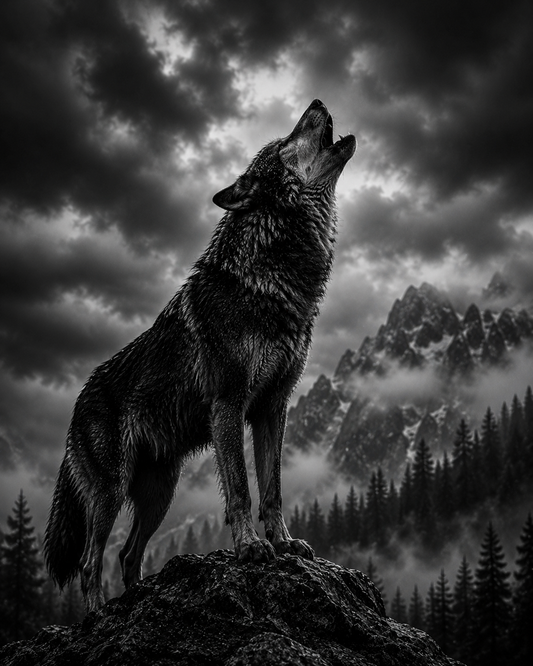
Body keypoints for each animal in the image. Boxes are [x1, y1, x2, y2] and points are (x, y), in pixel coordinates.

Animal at [44, 99, 356, 612]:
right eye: (285, 141)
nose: (317, 102)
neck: (272, 281)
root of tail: (79, 400)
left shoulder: (272, 407)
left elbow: (273, 488)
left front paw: (284, 543)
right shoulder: (229, 404)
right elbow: (241, 490)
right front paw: (251, 547)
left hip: (159, 493)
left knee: (128, 554)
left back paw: (141, 598)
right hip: (111, 492)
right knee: (91, 561)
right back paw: (98, 616)